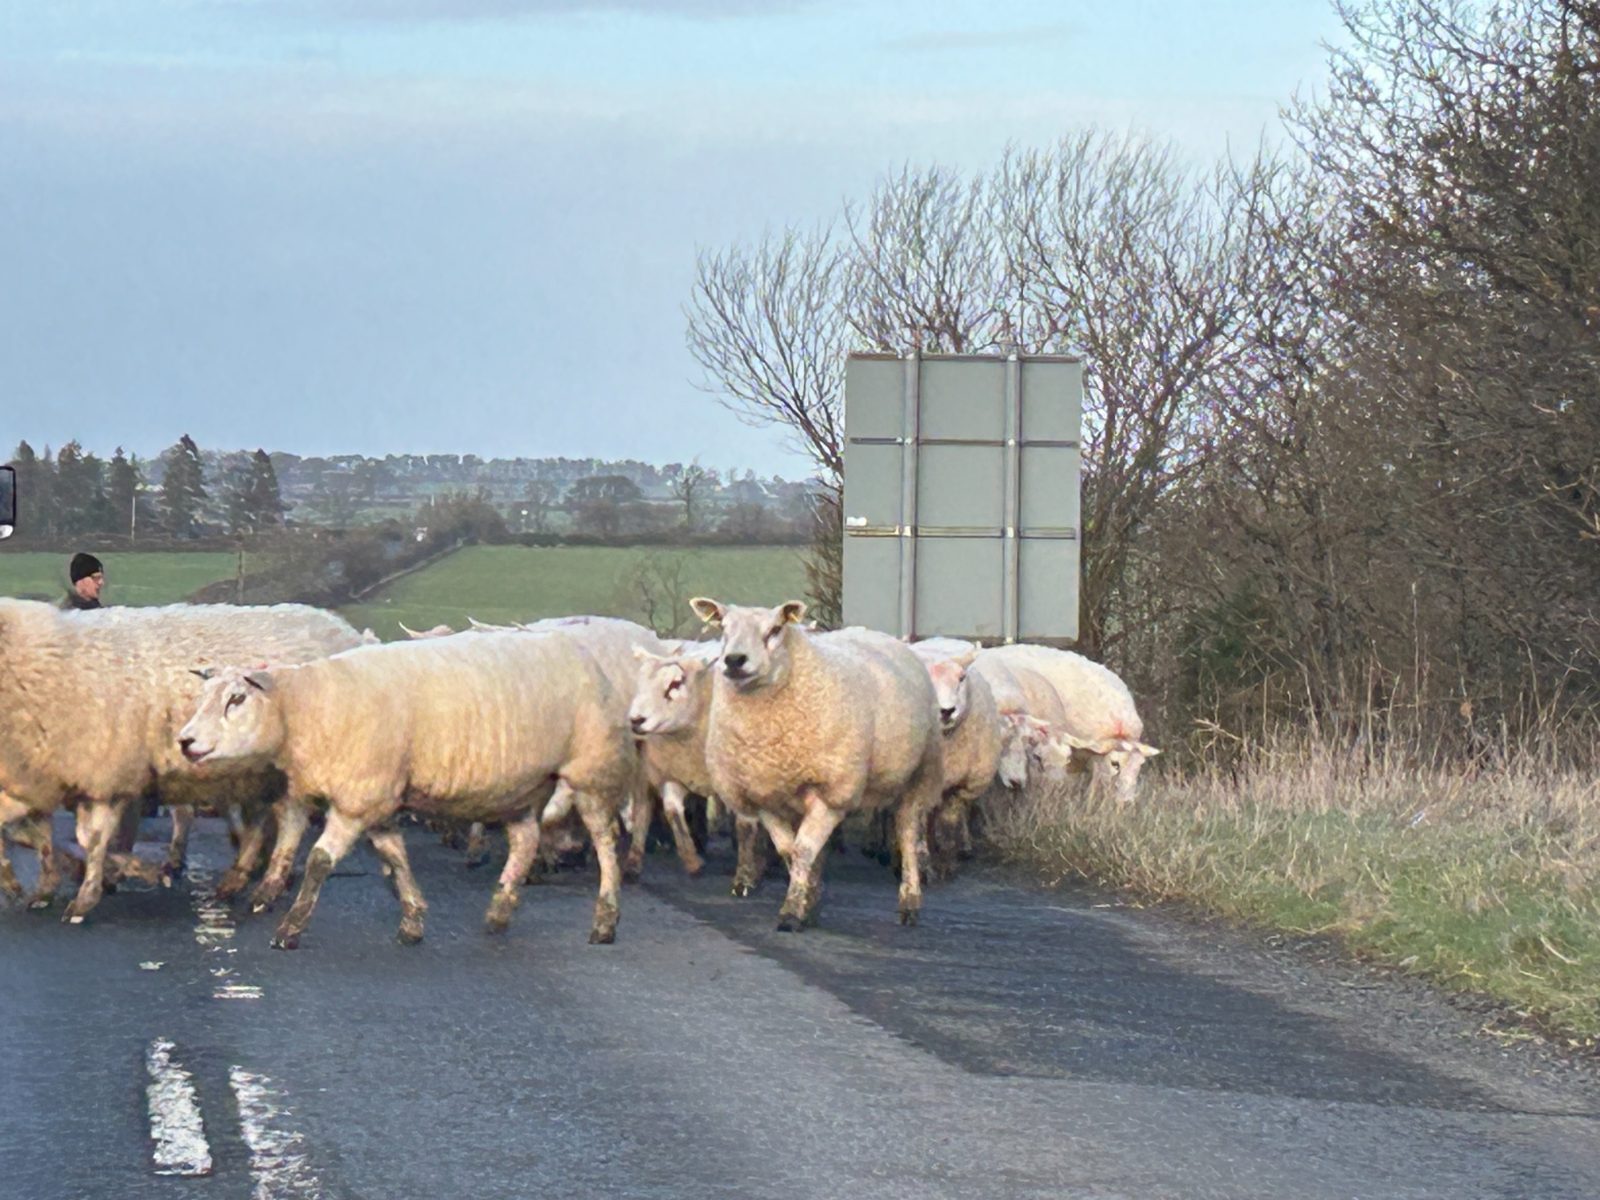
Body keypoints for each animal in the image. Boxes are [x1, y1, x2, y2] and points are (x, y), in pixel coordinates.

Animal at [0, 598, 365, 922]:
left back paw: (267, 887)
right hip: (256, 772)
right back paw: (241, 877)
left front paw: (90, 894)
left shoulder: (103, 772)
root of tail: (349, 633)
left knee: (289, 821)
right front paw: (38, 887)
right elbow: (35, 836)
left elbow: (90, 839)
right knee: (261, 819)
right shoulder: (38, 778)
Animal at [177, 629, 635, 949]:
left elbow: (320, 861)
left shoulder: (359, 799)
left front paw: (290, 927)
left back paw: (606, 920)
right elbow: (390, 857)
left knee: (605, 840)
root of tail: (578, 650)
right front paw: (412, 920)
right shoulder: (368, 799)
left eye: (237, 699)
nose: (184, 741)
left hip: (590, 772)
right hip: (520, 787)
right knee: (525, 840)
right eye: (203, 696)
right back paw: (499, 911)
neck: (306, 708)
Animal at [627, 642, 771, 892]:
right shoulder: (671, 776)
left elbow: (744, 826)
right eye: (640, 682)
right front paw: (693, 862)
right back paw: (634, 865)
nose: (636, 720)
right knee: (643, 811)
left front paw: (745, 877)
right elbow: (673, 812)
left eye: (675, 683)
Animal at [690, 597, 944, 930]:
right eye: (724, 628)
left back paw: (910, 902)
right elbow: (789, 851)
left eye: (775, 629)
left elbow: (803, 850)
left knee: (907, 833)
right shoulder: (765, 794)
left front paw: (791, 911)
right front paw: (806, 901)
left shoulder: (831, 791)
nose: (734, 660)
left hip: (918, 775)